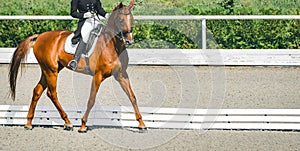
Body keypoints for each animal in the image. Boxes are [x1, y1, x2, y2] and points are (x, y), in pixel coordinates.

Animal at [8, 0, 146, 132]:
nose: (129, 40)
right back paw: (68, 122)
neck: (112, 46)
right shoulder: (98, 75)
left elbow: (132, 97)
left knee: (37, 90)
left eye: (132, 18)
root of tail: (40, 36)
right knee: (52, 93)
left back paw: (29, 123)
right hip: (51, 71)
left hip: (48, 69)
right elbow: (91, 100)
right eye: (121, 20)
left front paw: (142, 124)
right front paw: (83, 125)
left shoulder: (121, 75)